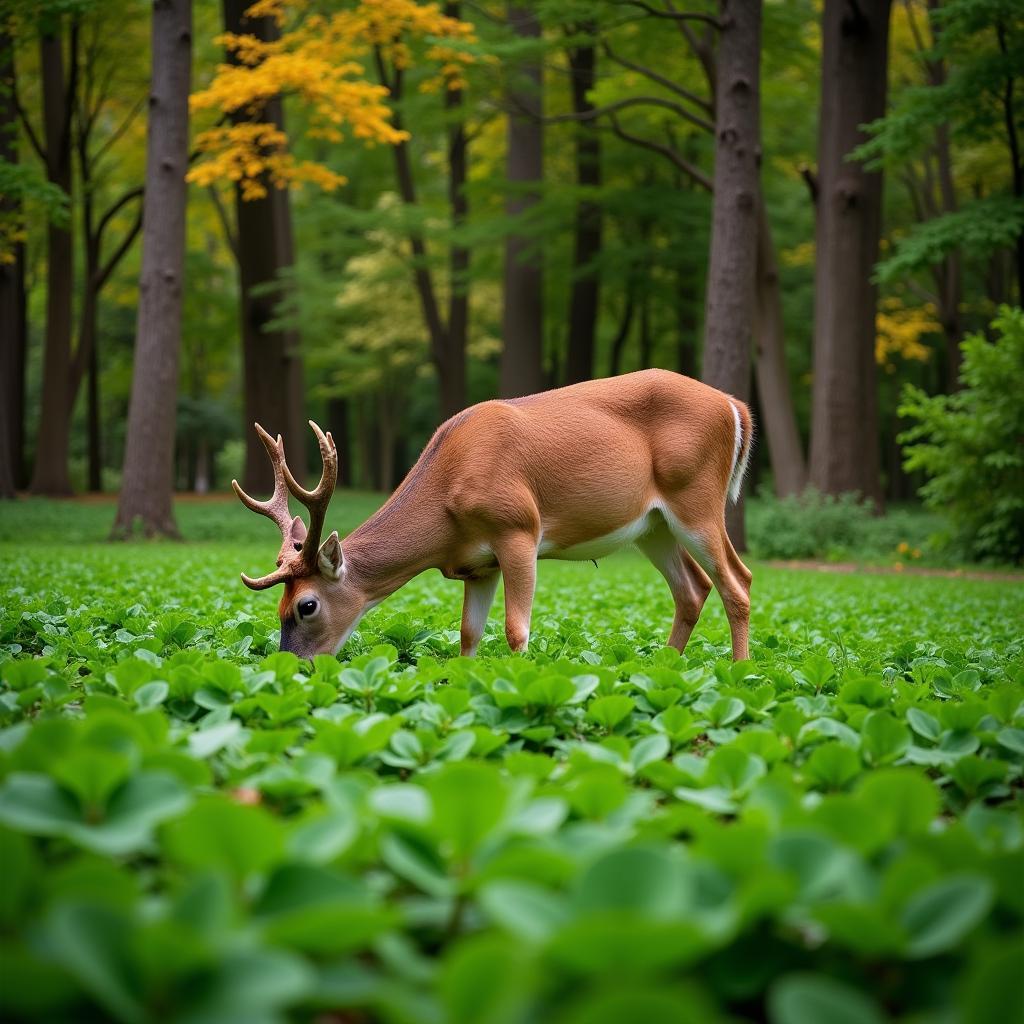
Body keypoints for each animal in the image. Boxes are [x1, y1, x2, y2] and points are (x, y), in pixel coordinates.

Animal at [235, 368, 757, 663]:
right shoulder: (475, 565)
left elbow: (515, 630)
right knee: (693, 589)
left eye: (306, 606)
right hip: (653, 526)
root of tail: (736, 407)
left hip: (697, 498)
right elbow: (468, 635)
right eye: (278, 607)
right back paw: (662, 671)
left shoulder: (519, 529)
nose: (293, 666)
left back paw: (740, 670)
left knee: (738, 580)